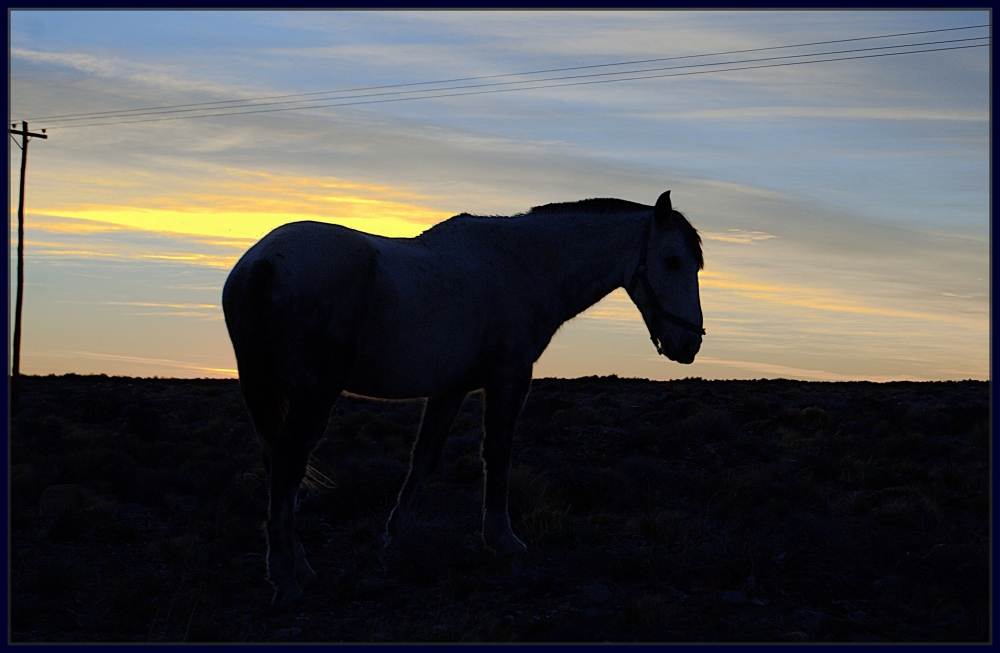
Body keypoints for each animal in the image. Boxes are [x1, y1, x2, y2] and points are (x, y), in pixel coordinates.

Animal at [221, 187, 704, 600]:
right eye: (672, 261)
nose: (690, 345)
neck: (525, 264)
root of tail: (261, 263)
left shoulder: (450, 389)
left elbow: (424, 457)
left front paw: (396, 535)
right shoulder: (509, 377)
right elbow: (498, 453)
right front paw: (502, 539)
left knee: (279, 467)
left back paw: (298, 567)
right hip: (314, 395)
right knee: (287, 466)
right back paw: (287, 580)